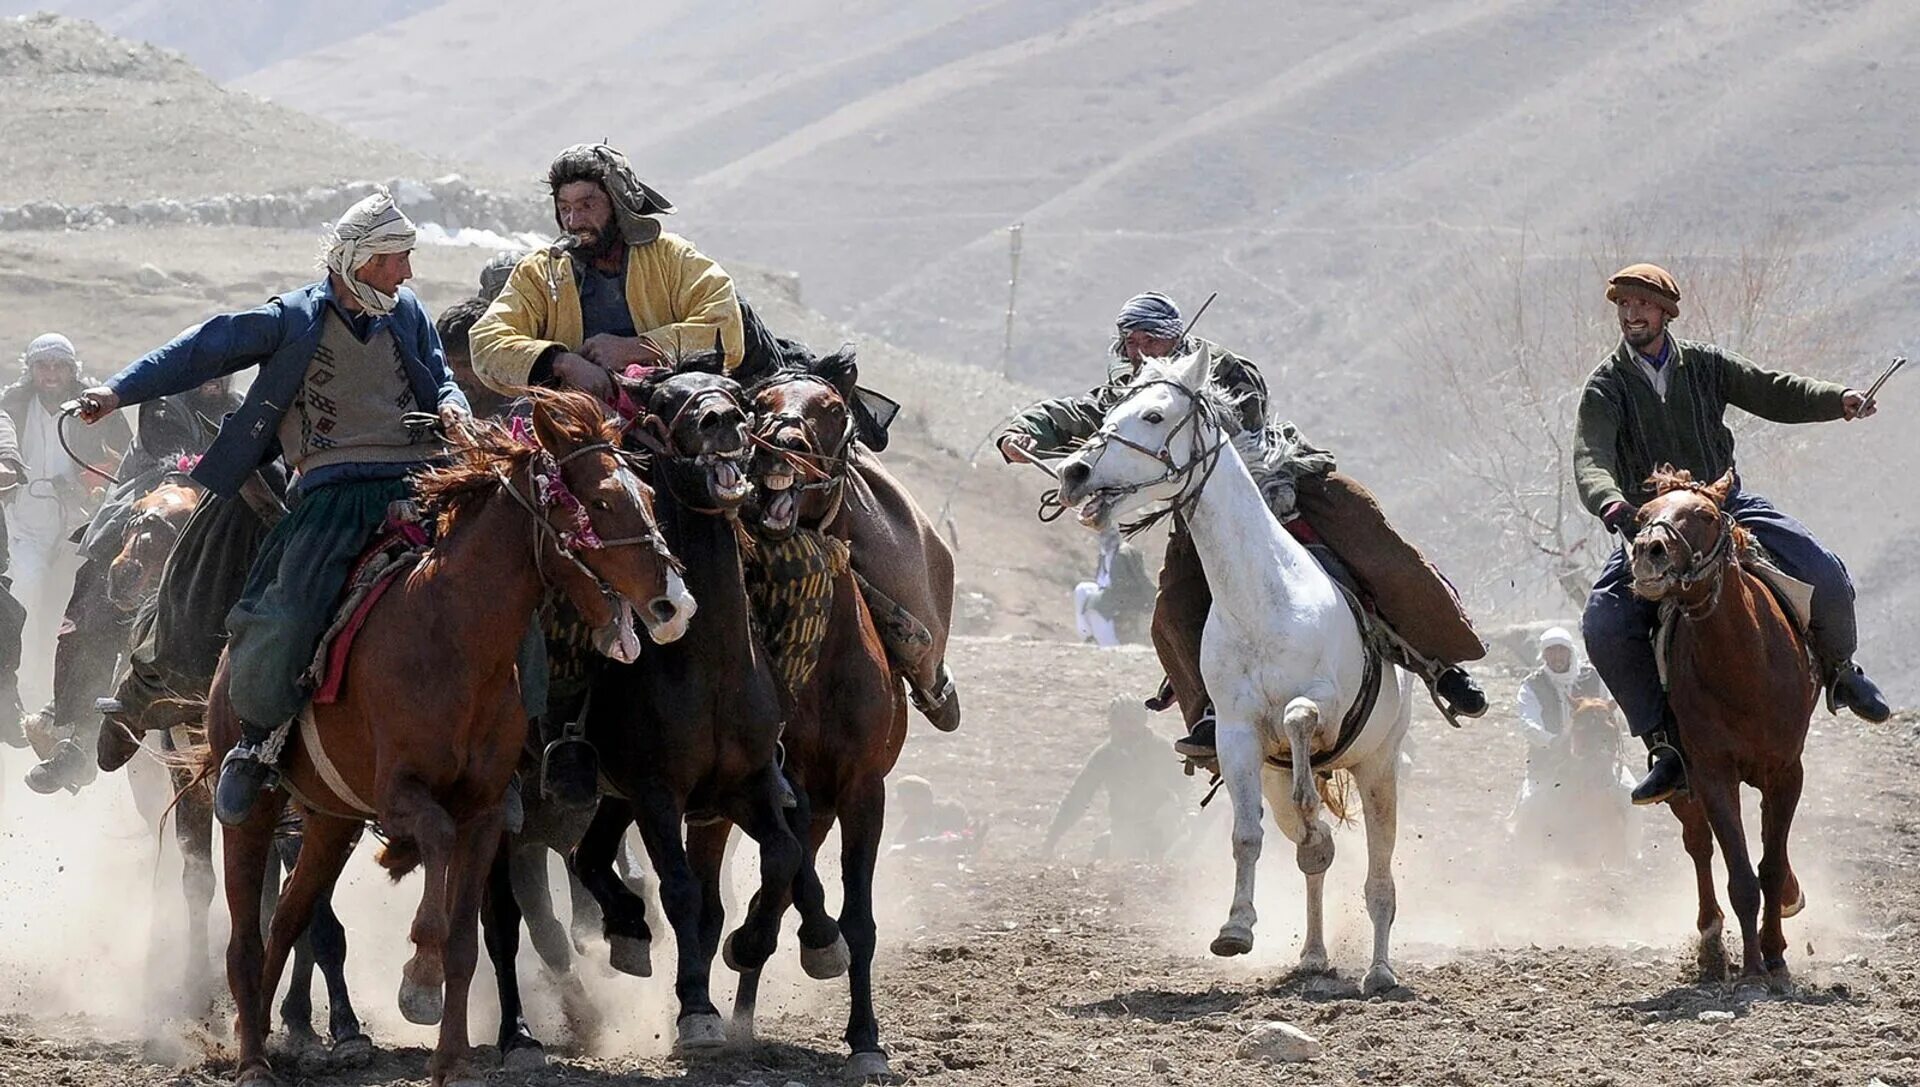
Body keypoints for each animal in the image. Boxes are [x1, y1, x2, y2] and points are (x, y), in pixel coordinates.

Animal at [208, 393, 698, 1087]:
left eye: (650, 496)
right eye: (601, 502)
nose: (674, 604)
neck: (455, 640)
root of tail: (225, 665)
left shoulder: (488, 811)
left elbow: (468, 940)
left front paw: (452, 1060)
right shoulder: (401, 795)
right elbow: (436, 848)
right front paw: (419, 979)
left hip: (331, 822)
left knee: (287, 920)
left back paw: (259, 1038)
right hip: (254, 814)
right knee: (246, 935)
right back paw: (251, 1057)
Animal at [564, 370, 844, 1060]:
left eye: (736, 397)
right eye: (665, 402)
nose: (722, 421)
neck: (709, 667)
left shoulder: (743, 786)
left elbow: (782, 854)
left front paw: (756, 944)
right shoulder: (657, 793)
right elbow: (682, 889)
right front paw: (696, 1010)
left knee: (590, 856)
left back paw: (630, 931)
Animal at [683, 353, 906, 1075]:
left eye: (833, 410)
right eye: (761, 403)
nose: (781, 446)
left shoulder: (862, 790)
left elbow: (856, 917)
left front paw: (866, 1040)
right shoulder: (778, 782)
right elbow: (782, 882)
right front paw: (771, 942)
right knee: (709, 905)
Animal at [1052, 351, 1413, 998]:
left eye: (1153, 414)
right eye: (1109, 408)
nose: (1074, 473)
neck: (1263, 598)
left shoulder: (1325, 707)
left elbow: (1298, 715)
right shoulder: (1238, 736)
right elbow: (1248, 834)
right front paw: (1235, 929)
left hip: (1378, 765)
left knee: (1379, 873)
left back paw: (1378, 970)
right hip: (1281, 775)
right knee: (1315, 859)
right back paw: (1313, 955)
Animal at [1628, 468, 1804, 990]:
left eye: (1704, 515)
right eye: (1641, 516)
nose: (1648, 552)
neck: (1744, 666)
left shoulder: (1786, 772)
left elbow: (1770, 867)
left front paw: (1776, 955)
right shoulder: (1711, 774)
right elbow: (1742, 876)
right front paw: (1752, 969)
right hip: (1683, 783)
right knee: (1700, 846)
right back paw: (1710, 946)